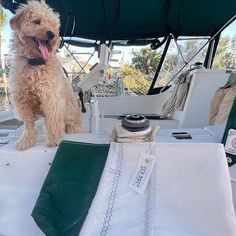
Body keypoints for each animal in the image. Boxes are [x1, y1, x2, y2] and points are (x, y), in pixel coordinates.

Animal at [9, 0, 83, 151]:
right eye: (37, 21)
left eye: (53, 25)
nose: (52, 34)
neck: (35, 63)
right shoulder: (22, 100)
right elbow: (28, 124)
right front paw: (26, 141)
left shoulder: (51, 98)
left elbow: (53, 120)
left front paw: (54, 140)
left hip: (73, 123)